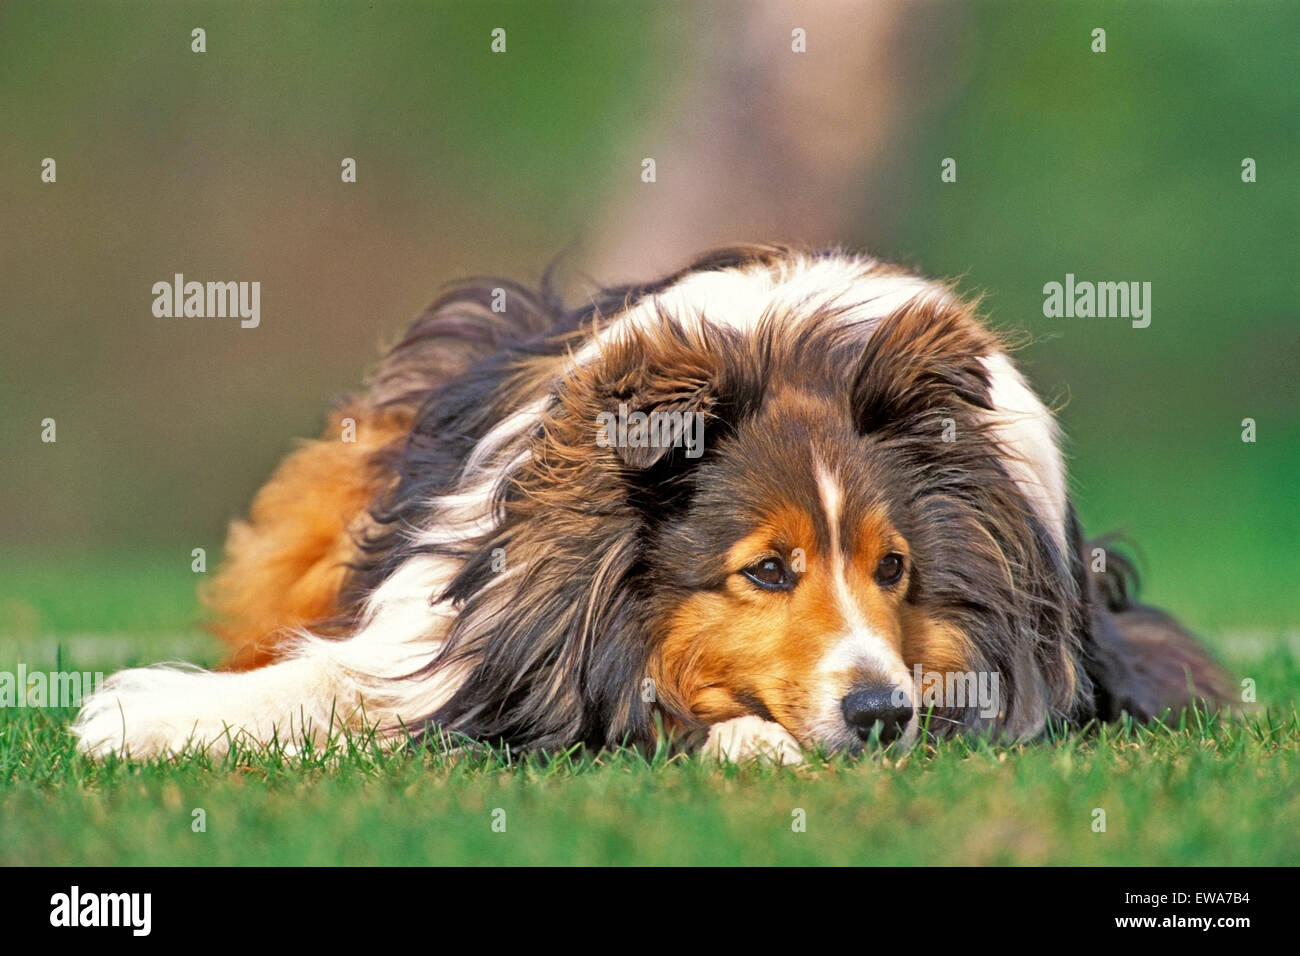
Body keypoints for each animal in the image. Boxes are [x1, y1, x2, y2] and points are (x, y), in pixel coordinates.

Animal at [71, 244, 1227, 764]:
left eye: (893, 568)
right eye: (767, 569)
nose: (880, 712)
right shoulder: (446, 631)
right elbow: (347, 684)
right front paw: (146, 714)